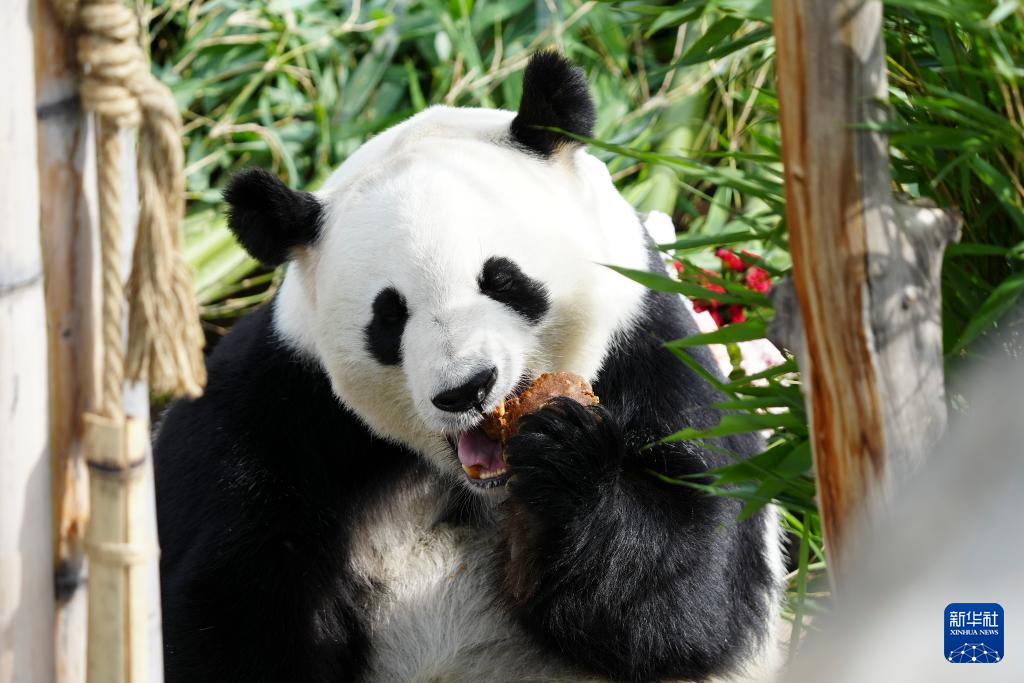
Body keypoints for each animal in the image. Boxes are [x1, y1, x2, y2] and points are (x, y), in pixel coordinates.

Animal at [155, 53, 782, 683]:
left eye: (502, 280)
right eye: (389, 316)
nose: (466, 389)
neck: (472, 483)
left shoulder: (651, 349)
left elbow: (688, 589)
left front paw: (565, 453)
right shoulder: (274, 409)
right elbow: (228, 607)